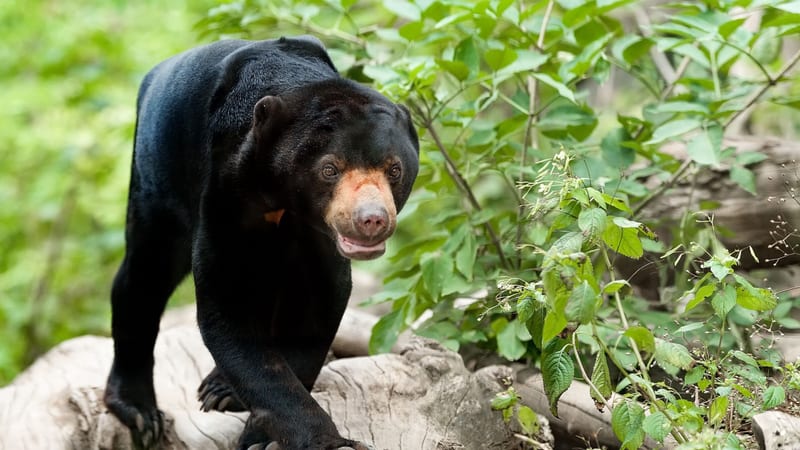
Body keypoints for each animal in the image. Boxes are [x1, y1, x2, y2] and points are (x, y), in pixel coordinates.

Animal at [103, 35, 419, 450]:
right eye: (329, 169)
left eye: (393, 169)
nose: (372, 219)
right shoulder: (226, 189)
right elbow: (227, 309)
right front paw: (318, 440)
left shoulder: (318, 235)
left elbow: (317, 306)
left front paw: (261, 432)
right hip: (154, 175)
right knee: (144, 276)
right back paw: (139, 411)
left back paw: (220, 388)